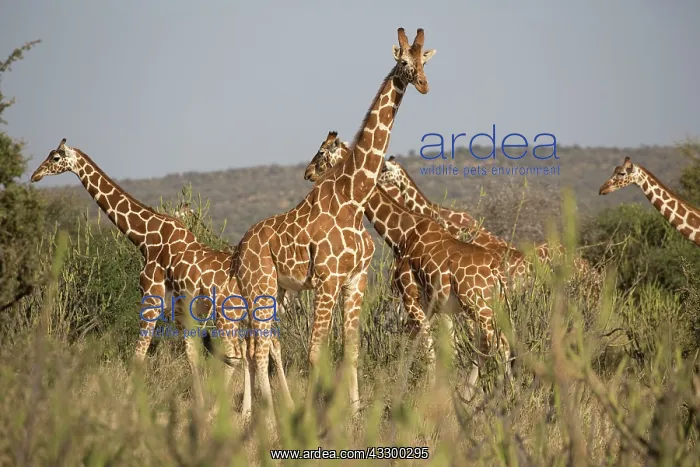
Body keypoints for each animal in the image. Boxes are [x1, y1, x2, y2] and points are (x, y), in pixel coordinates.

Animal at [29, 139, 294, 417]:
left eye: (56, 157)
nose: (35, 175)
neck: (146, 238)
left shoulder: (151, 296)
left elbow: (139, 353)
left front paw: (127, 405)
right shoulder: (179, 308)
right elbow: (191, 355)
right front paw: (199, 404)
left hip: (229, 316)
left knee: (240, 353)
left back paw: (231, 411)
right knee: (256, 349)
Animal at [232, 28, 435, 419]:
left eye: (425, 61)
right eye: (404, 61)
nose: (422, 84)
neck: (353, 199)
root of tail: (238, 250)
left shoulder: (355, 278)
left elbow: (350, 349)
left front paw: (354, 414)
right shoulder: (327, 279)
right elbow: (315, 353)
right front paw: (312, 417)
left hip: (276, 290)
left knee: (257, 344)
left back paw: (258, 412)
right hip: (259, 286)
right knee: (257, 347)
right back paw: (269, 418)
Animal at [304, 142, 512, 398]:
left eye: (321, 152)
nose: (308, 173)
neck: (402, 234)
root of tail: (497, 272)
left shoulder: (410, 297)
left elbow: (427, 343)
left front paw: (431, 390)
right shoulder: (430, 305)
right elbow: (416, 345)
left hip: (478, 306)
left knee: (496, 343)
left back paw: (498, 394)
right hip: (491, 306)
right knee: (493, 343)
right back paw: (481, 392)